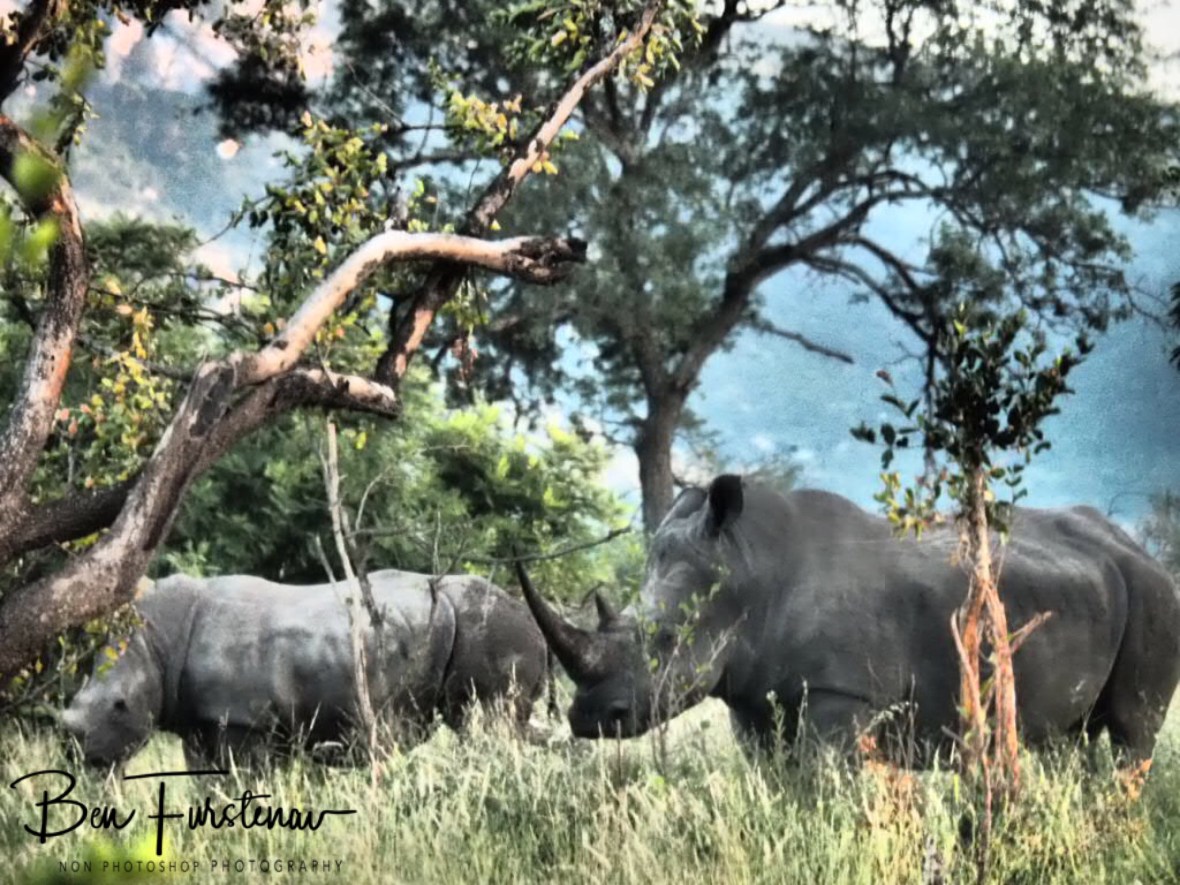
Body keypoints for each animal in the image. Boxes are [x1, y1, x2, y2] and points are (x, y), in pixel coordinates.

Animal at [61, 570, 549, 768]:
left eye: (120, 706)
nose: (80, 756)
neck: (158, 642)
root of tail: (534, 629)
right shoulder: (199, 722)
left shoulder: (244, 721)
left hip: (491, 630)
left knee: (490, 727)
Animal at [517, 475, 1180, 765]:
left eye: (664, 640)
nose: (586, 720)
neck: (749, 568)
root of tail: (1134, 547)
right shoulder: (753, 696)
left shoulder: (843, 694)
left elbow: (821, 788)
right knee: (1070, 739)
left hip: (1157, 596)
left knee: (1132, 731)